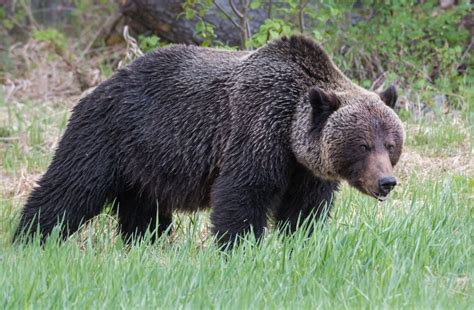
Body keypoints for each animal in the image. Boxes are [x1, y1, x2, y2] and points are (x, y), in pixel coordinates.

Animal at [12, 35, 402, 246]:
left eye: (391, 144)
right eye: (363, 145)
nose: (386, 182)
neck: (290, 131)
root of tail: (101, 85)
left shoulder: (306, 169)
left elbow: (304, 212)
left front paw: (301, 242)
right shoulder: (258, 129)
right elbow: (242, 193)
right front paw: (240, 248)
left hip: (144, 163)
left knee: (143, 210)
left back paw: (146, 243)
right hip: (108, 135)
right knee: (71, 187)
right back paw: (30, 238)